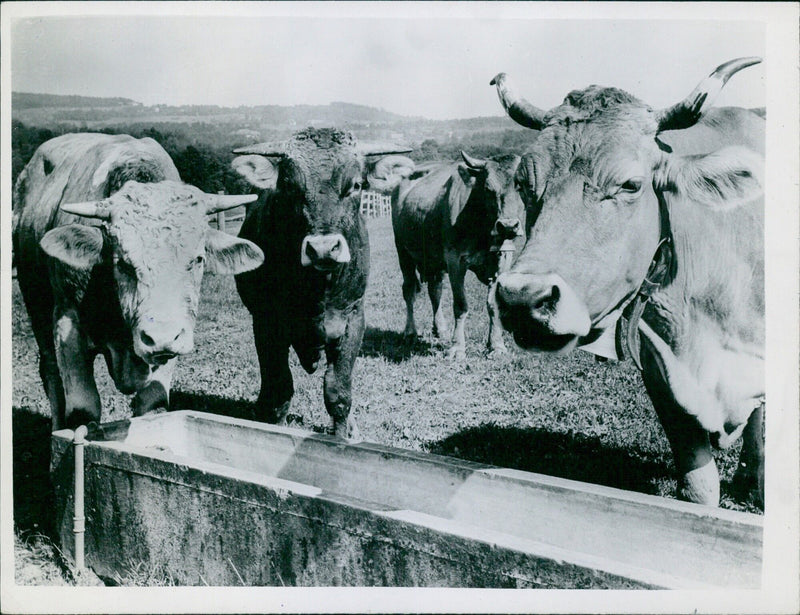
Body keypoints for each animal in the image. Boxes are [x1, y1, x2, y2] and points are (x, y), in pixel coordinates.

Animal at [12, 134, 264, 434]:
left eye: (198, 259)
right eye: (122, 263)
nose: (161, 337)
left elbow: (153, 402)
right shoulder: (66, 322)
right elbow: (83, 407)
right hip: (36, 304)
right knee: (51, 374)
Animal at [231, 127, 412, 440]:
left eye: (355, 185)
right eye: (290, 187)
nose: (324, 248)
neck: (317, 290)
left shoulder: (353, 317)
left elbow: (338, 392)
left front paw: (341, 435)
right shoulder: (265, 322)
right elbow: (279, 389)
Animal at [392, 151, 528, 358]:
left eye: (521, 186)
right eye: (488, 188)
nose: (508, 226)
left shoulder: (503, 260)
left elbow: (493, 305)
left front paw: (496, 345)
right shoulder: (455, 260)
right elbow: (460, 305)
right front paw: (457, 347)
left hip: (434, 260)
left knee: (435, 291)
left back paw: (440, 329)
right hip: (403, 253)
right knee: (409, 291)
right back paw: (410, 333)